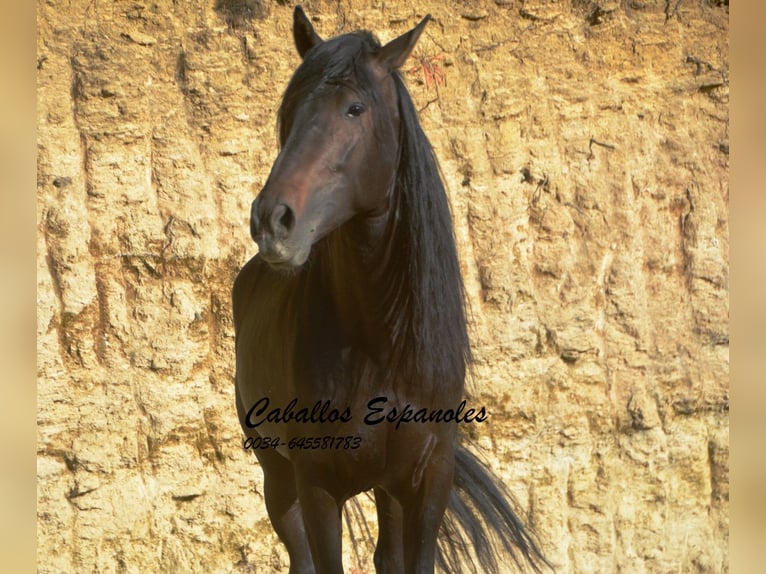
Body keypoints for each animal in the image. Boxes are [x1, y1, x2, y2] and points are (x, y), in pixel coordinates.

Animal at [234, 5, 552, 574]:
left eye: (355, 108)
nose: (271, 221)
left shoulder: (426, 486)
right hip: (277, 475)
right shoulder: (318, 489)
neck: (379, 344)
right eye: (289, 110)